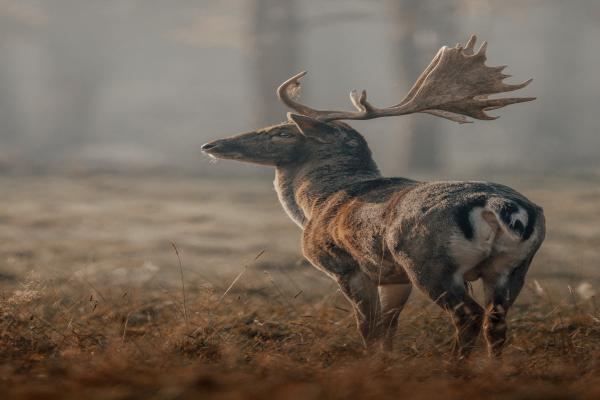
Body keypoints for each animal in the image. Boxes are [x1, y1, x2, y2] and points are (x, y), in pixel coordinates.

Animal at [202, 36, 544, 358]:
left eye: (282, 132)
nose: (211, 144)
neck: (317, 203)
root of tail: (503, 207)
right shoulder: (394, 277)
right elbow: (387, 329)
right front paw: (384, 362)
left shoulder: (347, 267)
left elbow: (368, 328)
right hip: (513, 267)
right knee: (495, 322)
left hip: (430, 263)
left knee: (469, 315)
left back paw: (455, 366)